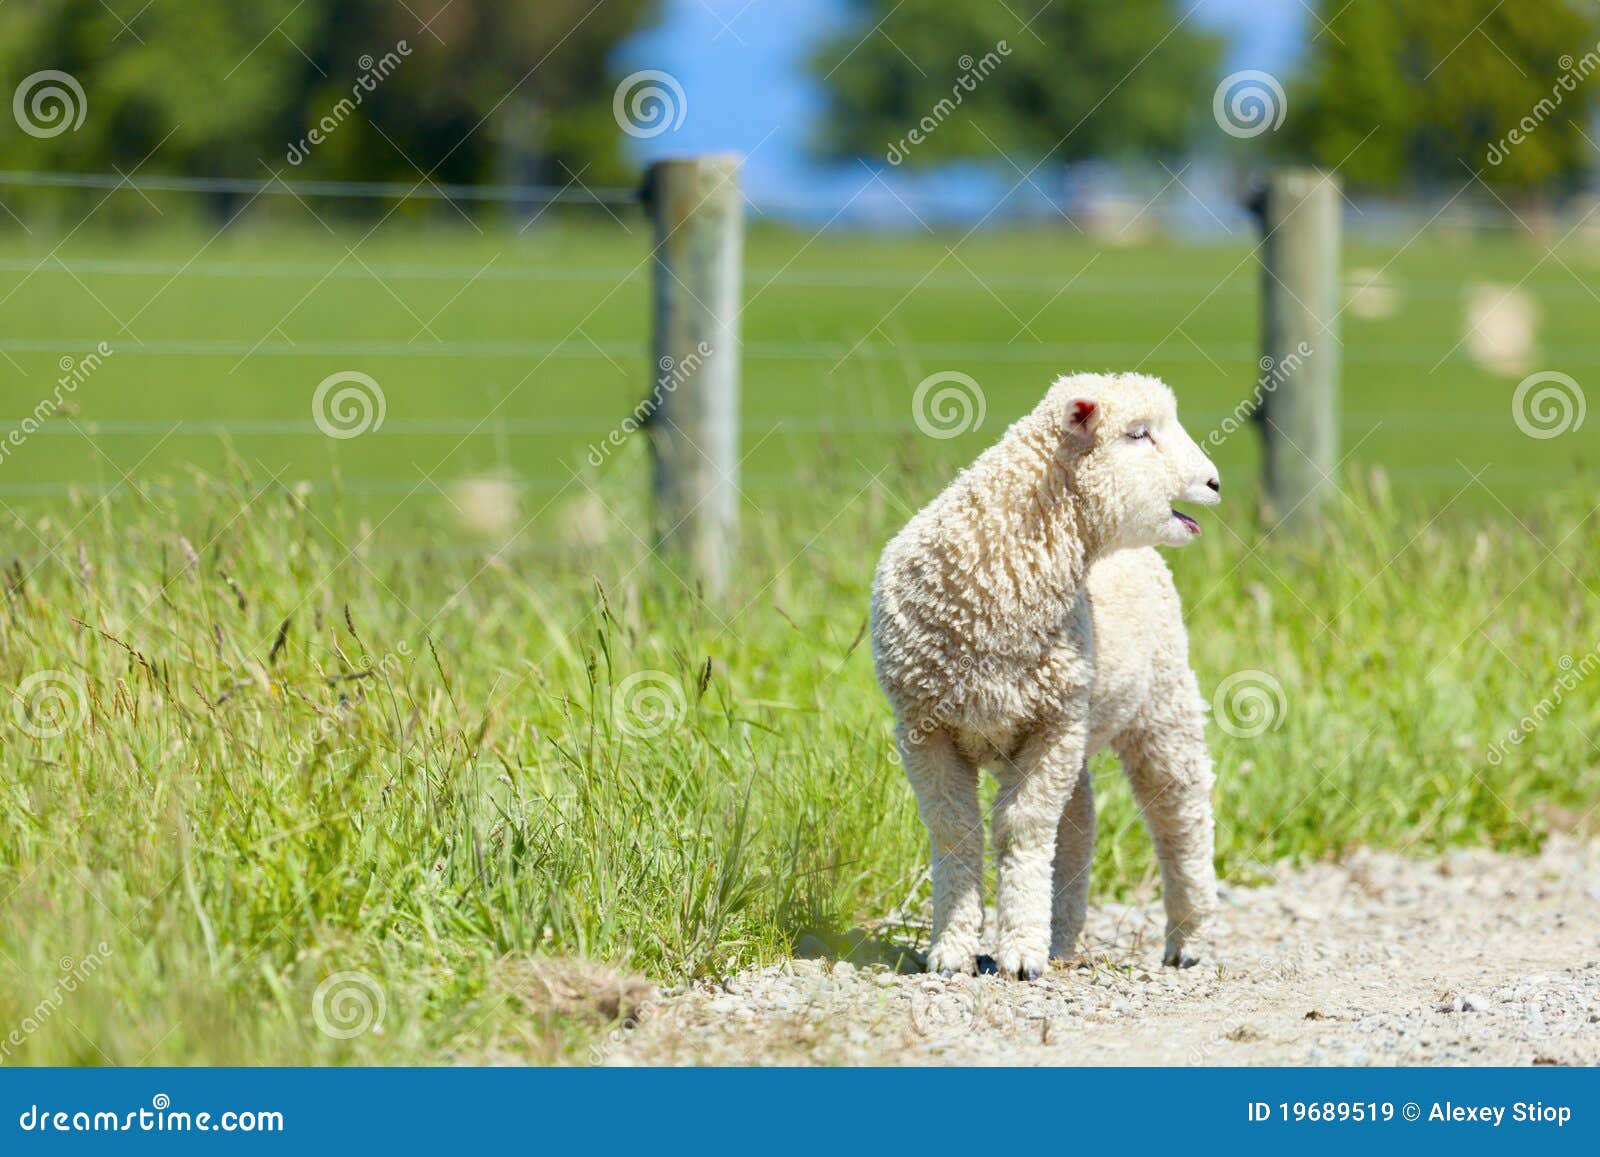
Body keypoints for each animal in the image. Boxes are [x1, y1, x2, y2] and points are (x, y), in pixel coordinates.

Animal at [871, 372, 1221, 980]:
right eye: (1138, 434)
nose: (1214, 482)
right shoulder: (924, 729)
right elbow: (956, 828)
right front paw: (952, 948)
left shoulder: (1050, 724)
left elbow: (1024, 828)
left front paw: (1019, 954)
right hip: (1076, 723)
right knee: (1078, 824)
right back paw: (1061, 938)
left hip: (1159, 699)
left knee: (1180, 813)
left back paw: (1187, 938)